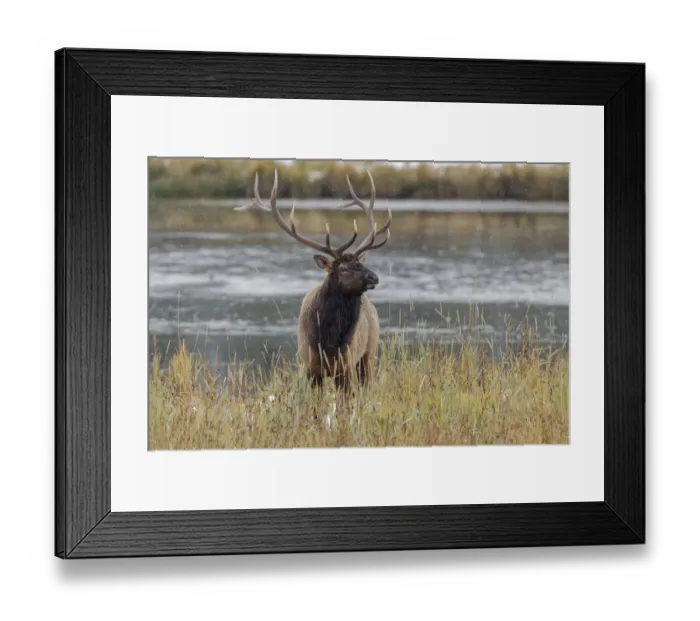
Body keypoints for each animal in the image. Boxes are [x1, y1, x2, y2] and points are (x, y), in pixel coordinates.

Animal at [237, 168, 391, 391]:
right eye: (343, 268)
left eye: (360, 263)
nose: (374, 277)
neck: (327, 342)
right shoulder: (310, 366)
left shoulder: (346, 365)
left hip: (368, 353)